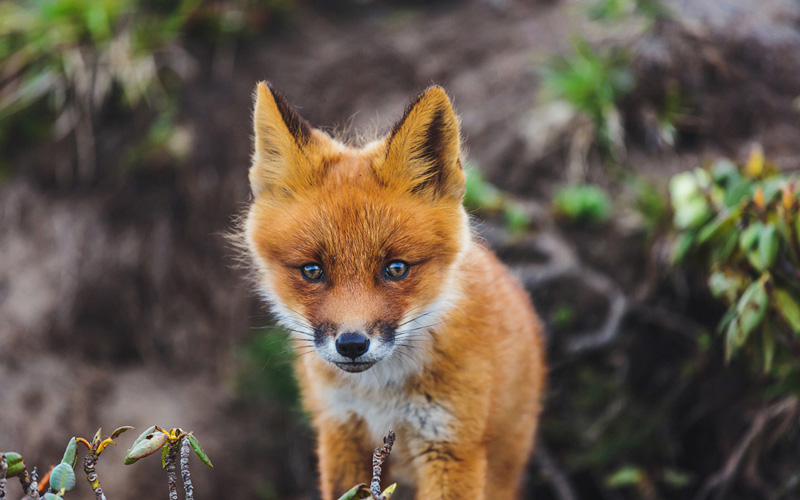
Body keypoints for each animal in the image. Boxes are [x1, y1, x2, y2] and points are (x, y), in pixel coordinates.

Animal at [242, 83, 544, 500]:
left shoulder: (450, 444)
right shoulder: (340, 430)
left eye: (396, 269)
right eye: (312, 270)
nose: (352, 344)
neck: (381, 395)